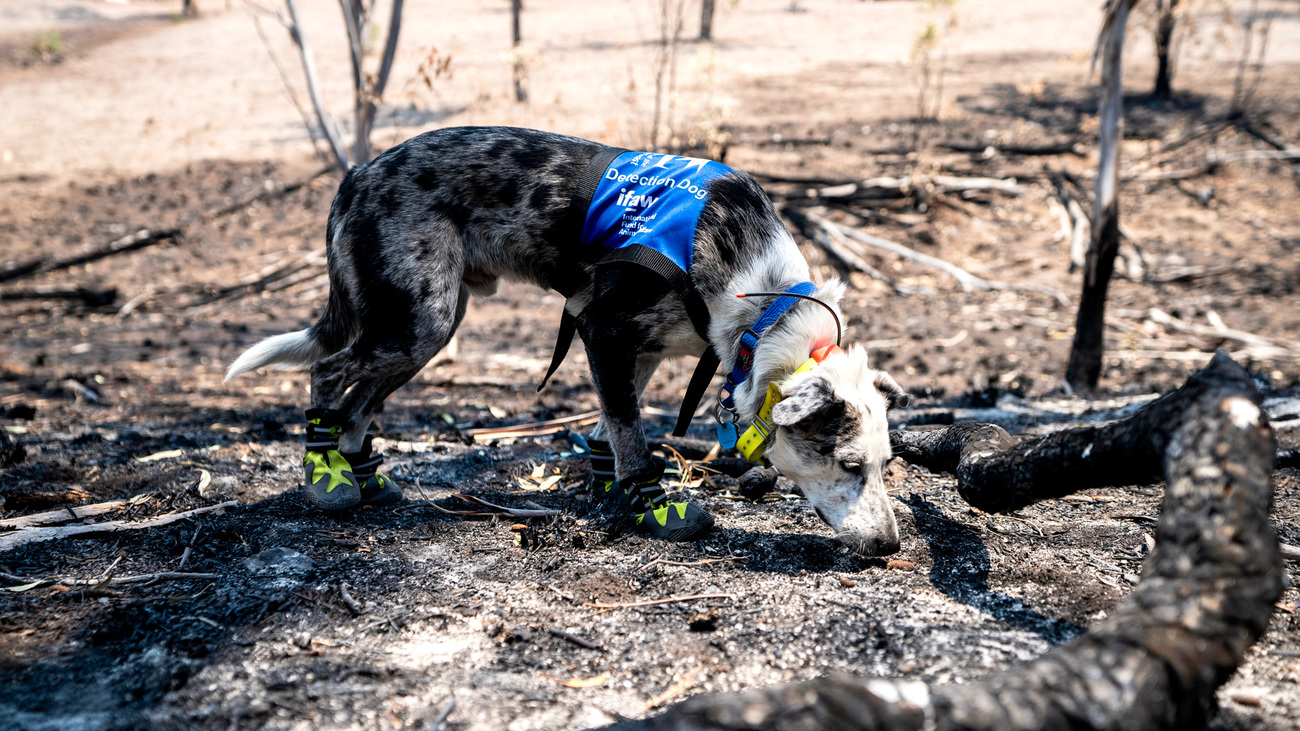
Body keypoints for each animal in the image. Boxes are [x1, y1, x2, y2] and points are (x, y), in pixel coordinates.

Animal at [223, 126, 909, 551]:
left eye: (885, 466)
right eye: (848, 464)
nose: (888, 547)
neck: (763, 301)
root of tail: (356, 175)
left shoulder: (639, 352)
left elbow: (610, 430)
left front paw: (608, 491)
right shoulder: (601, 331)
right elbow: (632, 439)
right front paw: (651, 506)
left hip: (428, 329)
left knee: (360, 401)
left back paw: (359, 471)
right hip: (417, 323)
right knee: (328, 372)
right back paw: (325, 474)